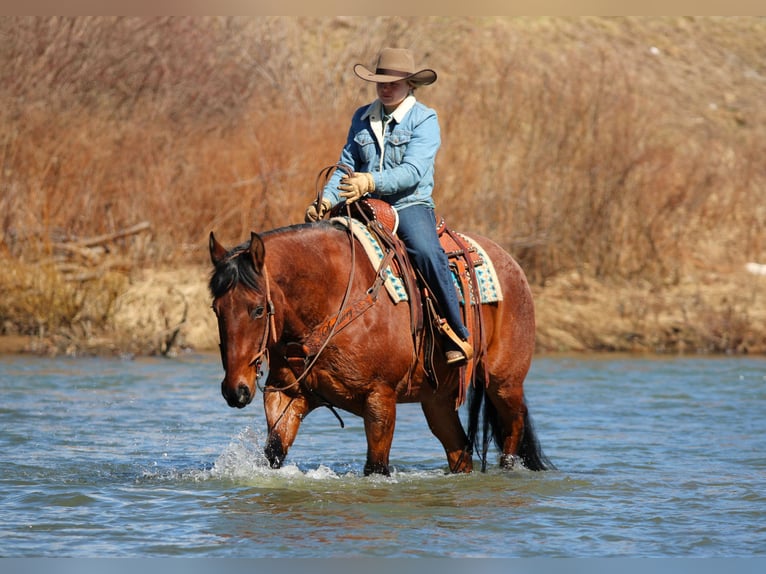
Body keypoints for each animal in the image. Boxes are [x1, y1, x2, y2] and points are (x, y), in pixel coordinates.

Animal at [208, 218, 552, 476]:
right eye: (216, 308)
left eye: (258, 309)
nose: (235, 390)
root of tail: (512, 265)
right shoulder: (287, 395)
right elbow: (274, 452)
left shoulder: (380, 398)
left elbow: (376, 467)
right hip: (438, 401)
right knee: (460, 452)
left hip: (504, 384)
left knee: (512, 432)